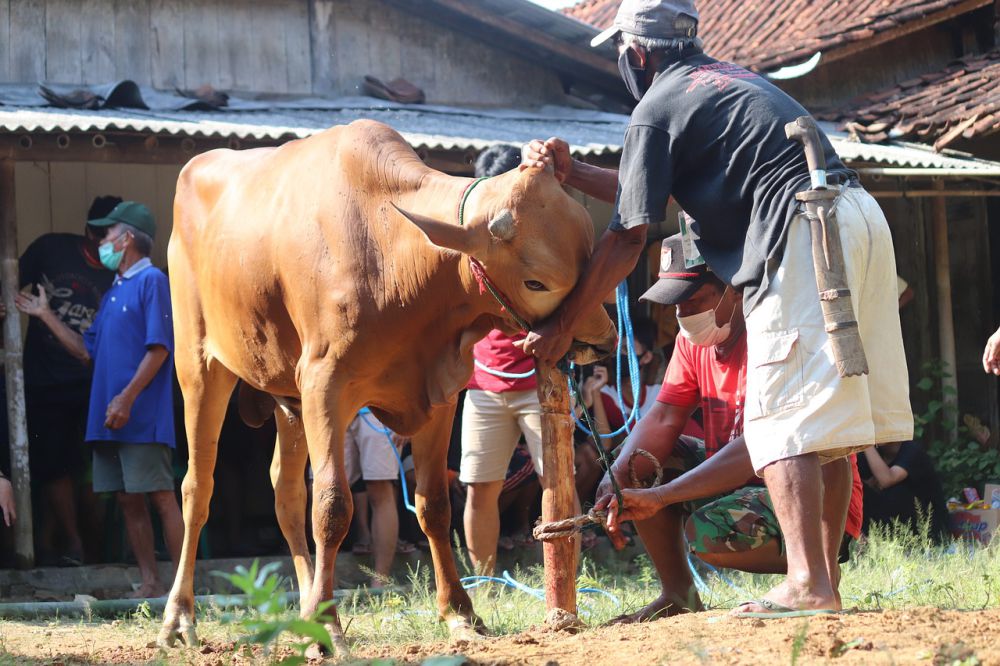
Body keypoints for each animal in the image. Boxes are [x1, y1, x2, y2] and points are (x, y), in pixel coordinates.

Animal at [156, 120, 616, 652]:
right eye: (536, 281)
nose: (605, 340)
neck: (394, 252)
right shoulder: (324, 387)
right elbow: (333, 506)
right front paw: (329, 627)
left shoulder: (439, 396)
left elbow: (434, 504)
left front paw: (459, 613)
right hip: (201, 367)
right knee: (198, 488)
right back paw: (179, 618)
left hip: (288, 401)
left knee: (286, 495)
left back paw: (303, 607)